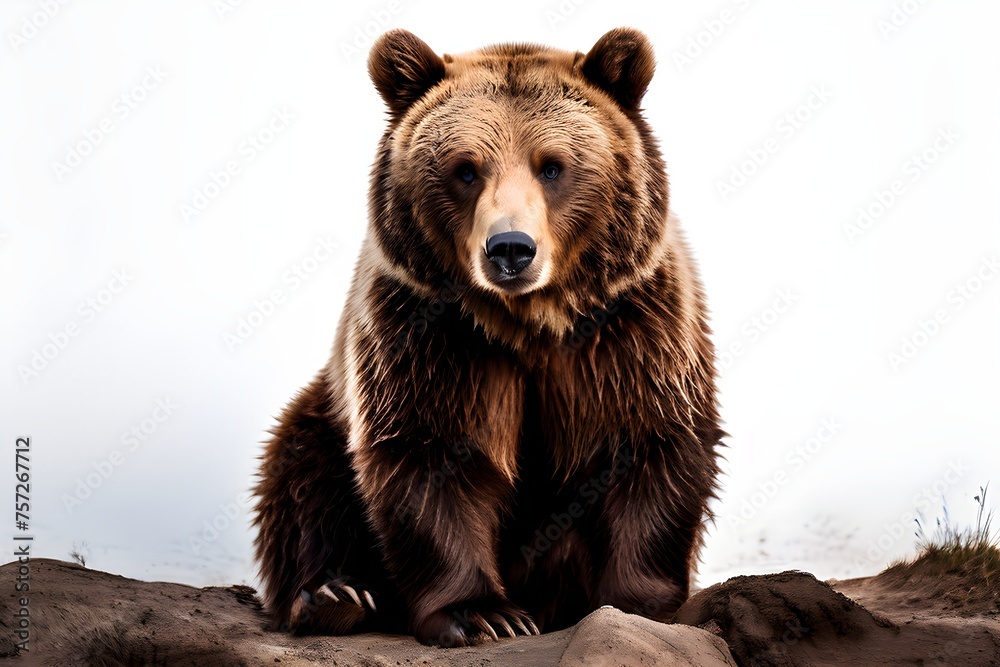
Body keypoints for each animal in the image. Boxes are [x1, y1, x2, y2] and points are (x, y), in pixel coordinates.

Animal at [252, 27, 724, 648]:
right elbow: (428, 453)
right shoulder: (428, 334)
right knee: (301, 473)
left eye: (553, 167)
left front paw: (639, 605)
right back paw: (333, 596)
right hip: (325, 411)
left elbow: (650, 442)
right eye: (465, 169)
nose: (510, 249)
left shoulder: (631, 327)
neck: (529, 323)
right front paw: (484, 615)